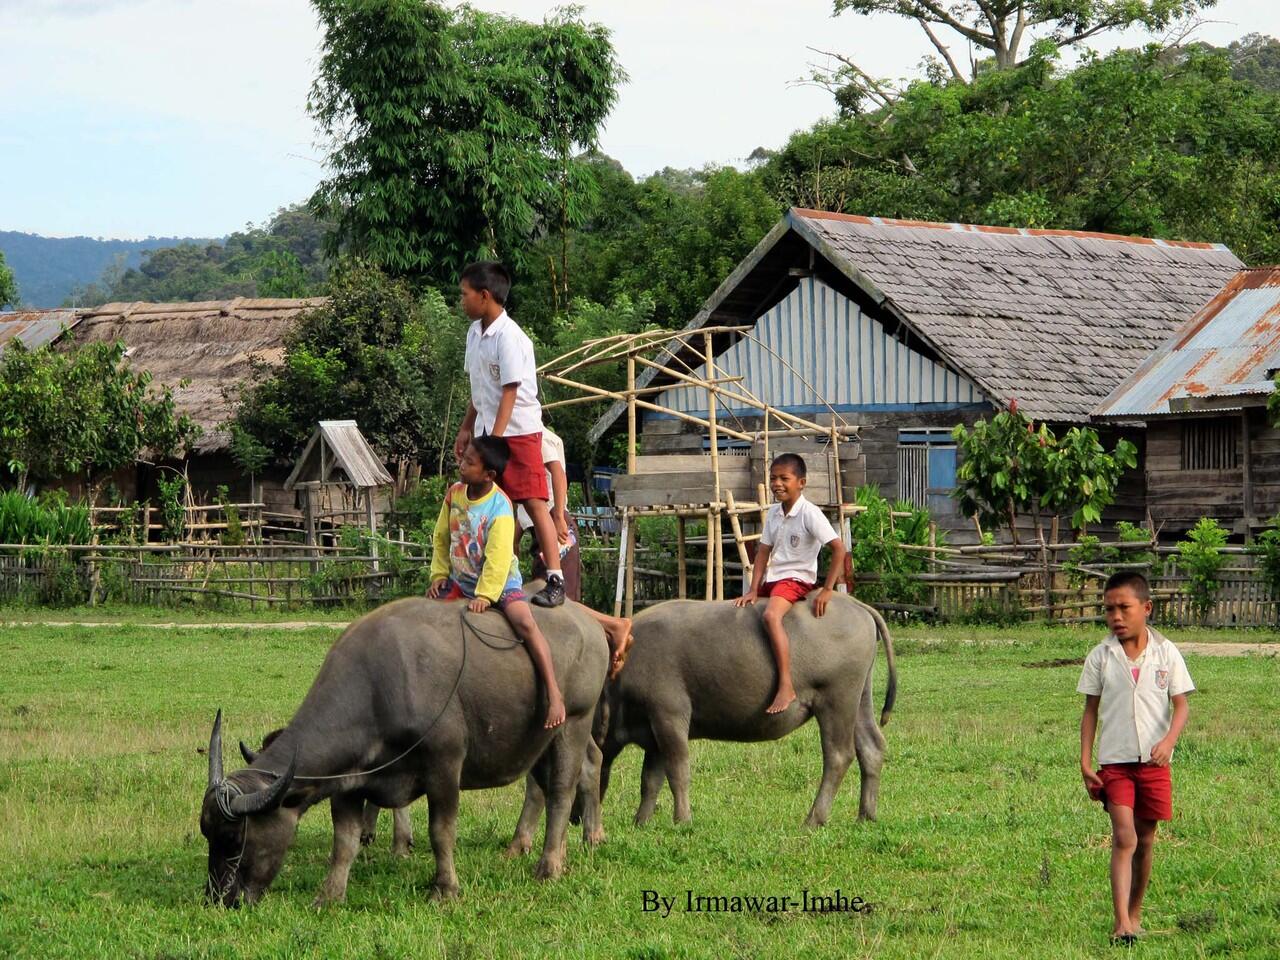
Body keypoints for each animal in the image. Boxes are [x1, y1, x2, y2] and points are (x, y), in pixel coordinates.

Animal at [202, 599, 611, 906]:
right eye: (208, 834)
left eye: (235, 838)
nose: (220, 898)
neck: (379, 687)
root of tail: (590, 625)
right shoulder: (348, 781)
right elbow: (344, 841)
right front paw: (329, 895)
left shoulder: (444, 765)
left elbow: (441, 831)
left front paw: (445, 889)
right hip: (540, 739)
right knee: (560, 777)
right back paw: (548, 845)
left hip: (573, 721)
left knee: (561, 790)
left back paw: (550, 865)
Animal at [593, 593, 896, 829]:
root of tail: (856, 604)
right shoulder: (654, 731)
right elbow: (650, 779)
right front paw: (641, 821)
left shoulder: (669, 716)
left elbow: (678, 771)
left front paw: (682, 819)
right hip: (860, 700)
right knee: (871, 747)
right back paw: (866, 815)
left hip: (836, 701)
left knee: (838, 755)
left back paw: (814, 818)